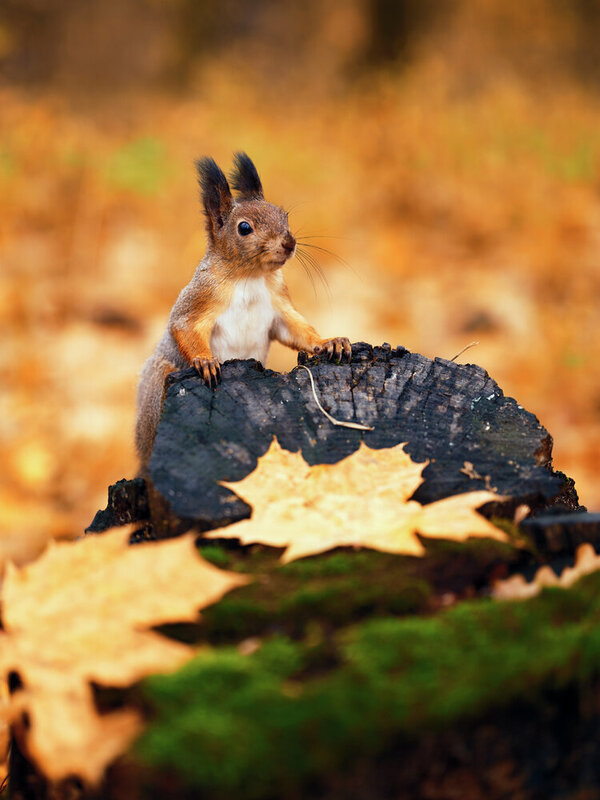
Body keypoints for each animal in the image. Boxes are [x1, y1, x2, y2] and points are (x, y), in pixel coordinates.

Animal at [135, 152, 351, 468]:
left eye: (284, 215)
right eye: (244, 228)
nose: (289, 243)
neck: (249, 277)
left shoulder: (278, 305)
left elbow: (297, 330)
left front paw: (329, 342)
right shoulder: (198, 298)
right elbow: (184, 327)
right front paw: (205, 362)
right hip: (156, 385)